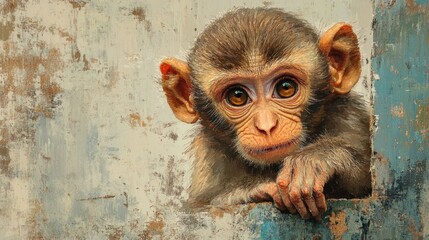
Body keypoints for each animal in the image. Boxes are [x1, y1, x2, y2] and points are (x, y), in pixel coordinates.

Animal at [159, 7, 370, 221]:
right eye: (237, 96)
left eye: (285, 87)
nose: (266, 126)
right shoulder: (207, 156)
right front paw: (246, 193)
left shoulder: (350, 117)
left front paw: (317, 160)